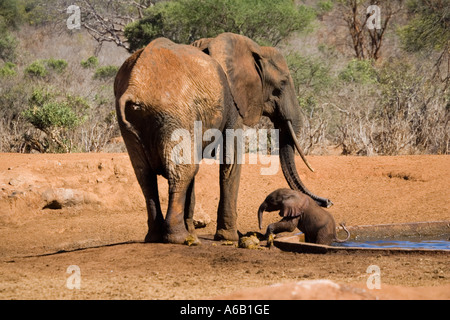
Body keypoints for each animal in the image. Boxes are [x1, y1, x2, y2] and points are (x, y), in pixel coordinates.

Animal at [114, 32, 328, 244]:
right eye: (282, 84)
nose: (327, 202)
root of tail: (135, 85)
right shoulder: (232, 102)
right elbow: (230, 159)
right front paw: (230, 238)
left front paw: (195, 233)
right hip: (173, 112)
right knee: (181, 171)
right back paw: (179, 238)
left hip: (136, 121)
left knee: (145, 175)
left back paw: (157, 237)